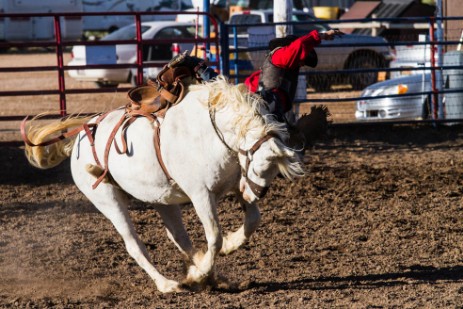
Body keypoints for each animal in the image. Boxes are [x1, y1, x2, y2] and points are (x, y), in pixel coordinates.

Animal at [22, 76, 304, 292]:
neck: (211, 132)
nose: (255, 194)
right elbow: (214, 236)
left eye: (273, 173)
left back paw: (201, 271)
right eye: (259, 166)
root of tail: (82, 132)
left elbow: (252, 221)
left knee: (178, 236)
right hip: (108, 201)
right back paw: (169, 284)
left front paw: (227, 248)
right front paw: (205, 268)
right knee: (135, 246)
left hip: (161, 198)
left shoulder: (235, 186)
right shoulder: (201, 194)